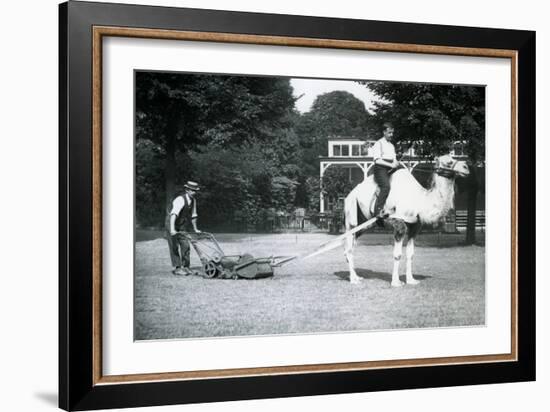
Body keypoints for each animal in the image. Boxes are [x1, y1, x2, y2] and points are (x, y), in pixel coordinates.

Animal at [344, 154, 470, 286]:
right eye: (449, 162)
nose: (466, 167)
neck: (420, 201)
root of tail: (349, 195)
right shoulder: (399, 224)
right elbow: (397, 254)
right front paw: (396, 282)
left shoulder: (414, 227)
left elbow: (410, 254)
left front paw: (411, 280)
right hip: (351, 218)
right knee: (348, 248)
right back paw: (353, 279)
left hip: (364, 225)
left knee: (351, 246)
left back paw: (357, 277)